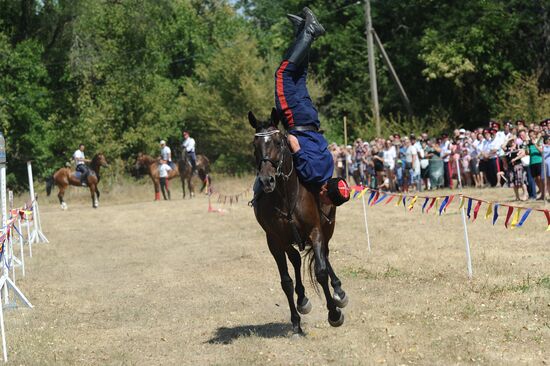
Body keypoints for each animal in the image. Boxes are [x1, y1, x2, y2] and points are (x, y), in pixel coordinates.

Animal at [250, 108, 350, 334]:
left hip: (327, 227)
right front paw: (296, 322)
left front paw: (334, 314)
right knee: (296, 259)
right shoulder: (274, 241)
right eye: (254, 145)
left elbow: (321, 271)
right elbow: (286, 281)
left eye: (278, 142)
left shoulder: (315, 231)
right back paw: (302, 299)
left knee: (325, 255)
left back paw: (338, 291)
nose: (267, 180)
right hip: (289, 240)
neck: (286, 196)